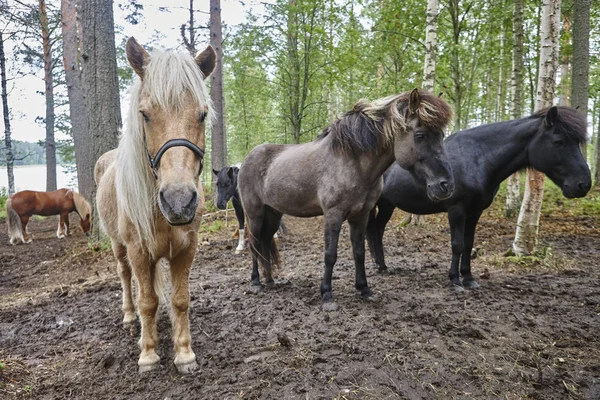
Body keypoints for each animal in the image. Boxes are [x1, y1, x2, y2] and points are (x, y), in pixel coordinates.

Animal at [239, 90, 454, 310]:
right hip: (254, 213)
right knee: (254, 242)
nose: (445, 185)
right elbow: (330, 255)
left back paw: (270, 280)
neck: (353, 161)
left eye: (441, 135)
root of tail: (247, 159)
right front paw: (327, 296)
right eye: (420, 135)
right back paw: (256, 283)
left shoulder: (361, 215)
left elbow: (359, 252)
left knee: (265, 241)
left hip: (273, 213)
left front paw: (364, 289)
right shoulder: (333, 214)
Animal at [366, 105, 592, 290]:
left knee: (377, 230)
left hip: (387, 205)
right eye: (559, 141)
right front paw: (455, 281)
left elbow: (468, 244)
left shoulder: (475, 212)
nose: (583, 184)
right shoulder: (456, 210)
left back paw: (382, 265)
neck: (477, 159)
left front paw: (468, 278)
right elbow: (457, 244)